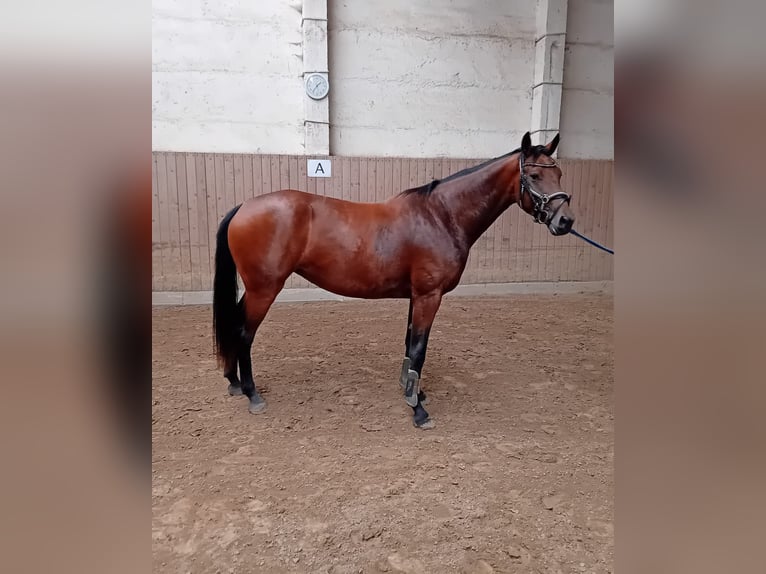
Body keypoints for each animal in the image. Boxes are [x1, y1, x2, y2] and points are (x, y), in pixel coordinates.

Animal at [213, 130, 572, 428]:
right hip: (265, 289)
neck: (440, 216)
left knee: (234, 324)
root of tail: (244, 206)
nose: (565, 221)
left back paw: (233, 381)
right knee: (244, 333)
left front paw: (412, 391)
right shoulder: (429, 295)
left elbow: (410, 345)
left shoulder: (417, 295)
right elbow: (419, 349)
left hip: (256, 289)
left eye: (558, 174)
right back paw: (252, 394)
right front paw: (418, 410)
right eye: (535, 175)